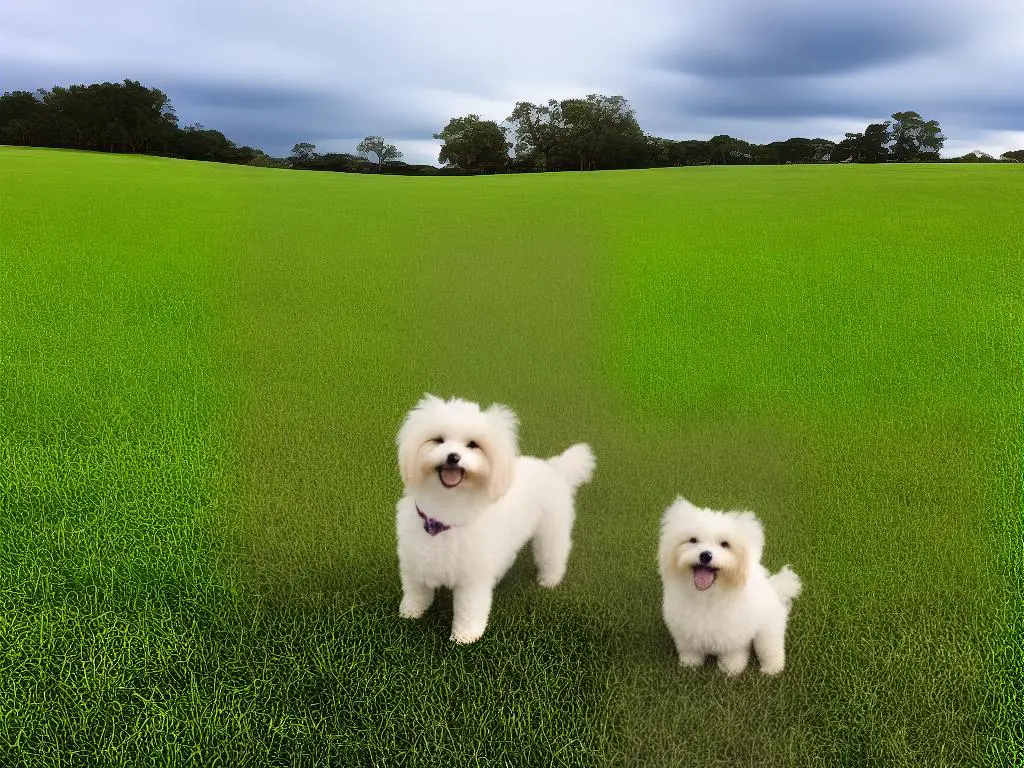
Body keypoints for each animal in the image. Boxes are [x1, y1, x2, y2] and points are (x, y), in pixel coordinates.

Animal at [395, 397, 598, 643]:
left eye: (473, 444)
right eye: (438, 440)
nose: (453, 456)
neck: (446, 510)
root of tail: (554, 467)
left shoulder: (474, 579)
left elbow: (469, 610)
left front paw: (464, 637)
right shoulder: (416, 561)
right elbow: (415, 593)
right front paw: (410, 613)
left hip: (552, 531)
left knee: (554, 555)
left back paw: (549, 580)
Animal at [659, 495, 802, 675]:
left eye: (725, 544)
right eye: (692, 540)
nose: (705, 555)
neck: (707, 596)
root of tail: (775, 589)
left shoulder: (734, 634)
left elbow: (733, 653)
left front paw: (731, 670)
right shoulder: (685, 631)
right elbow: (691, 649)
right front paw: (690, 664)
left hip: (768, 629)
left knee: (771, 648)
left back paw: (771, 669)